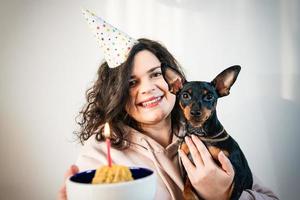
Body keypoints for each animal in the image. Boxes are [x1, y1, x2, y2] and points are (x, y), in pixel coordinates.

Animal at [162, 65, 253, 200]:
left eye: (209, 97)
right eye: (185, 96)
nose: (195, 112)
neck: (200, 134)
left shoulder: (238, 172)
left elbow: (233, 196)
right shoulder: (187, 171)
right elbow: (186, 189)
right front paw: (191, 196)